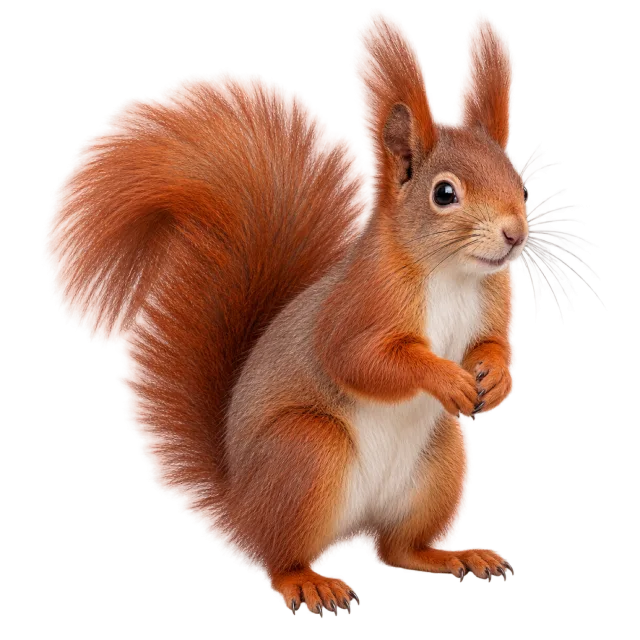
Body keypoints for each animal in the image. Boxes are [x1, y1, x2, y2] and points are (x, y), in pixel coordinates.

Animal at [44, 9, 525, 613]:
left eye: (519, 182)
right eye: (444, 193)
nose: (515, 235)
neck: (452, 275)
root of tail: (243, 502)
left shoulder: (493, 300)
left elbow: (492, 344)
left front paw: (497, 377)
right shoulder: (361, 303)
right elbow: (359, 359)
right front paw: (446, 378)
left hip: (439, 464)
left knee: (398, 548)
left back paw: (453, 555)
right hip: (308, 452)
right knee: (281, 555)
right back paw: (308, 582)